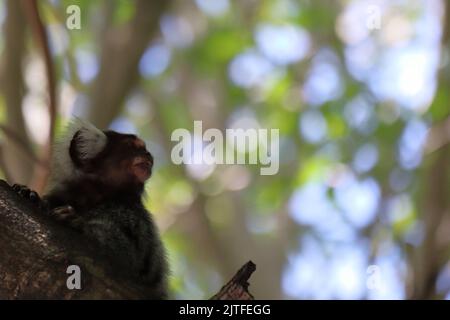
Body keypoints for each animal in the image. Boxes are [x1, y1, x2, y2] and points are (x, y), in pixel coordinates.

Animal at [14, 119, 169, 298]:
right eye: (133, 146)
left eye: (144, 149)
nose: (148, 154)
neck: (95, 195)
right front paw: (29, 194)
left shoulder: (134, 217)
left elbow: (130, 256)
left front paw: (77, 222)